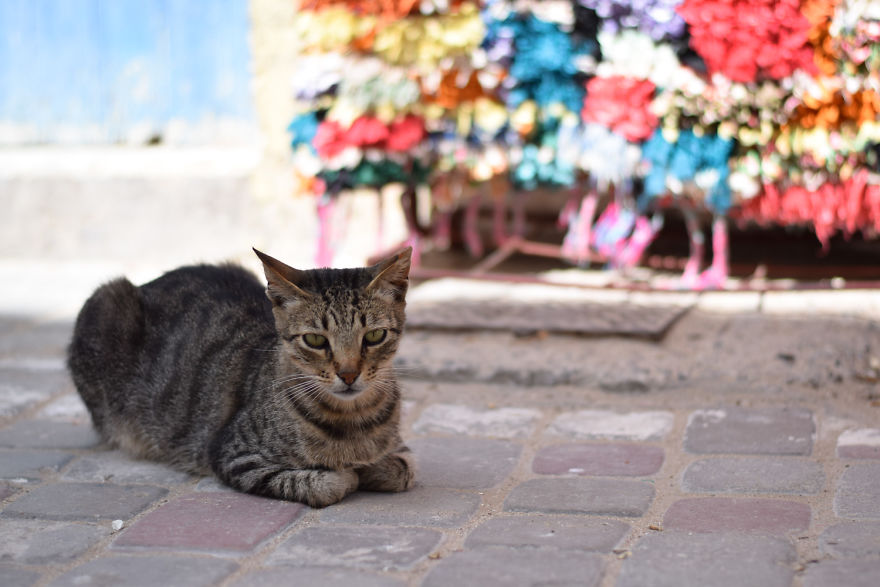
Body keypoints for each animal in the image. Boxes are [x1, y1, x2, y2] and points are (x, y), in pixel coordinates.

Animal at [66, 246, 416, 508]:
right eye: (315, 340)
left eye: (374, 336)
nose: (348, 373)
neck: (353, 418)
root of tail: (146, 283)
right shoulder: (233, 454)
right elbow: (322, 483)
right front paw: (348, 473)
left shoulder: (401, 449)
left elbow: (403, 468)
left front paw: (373, 467)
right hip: (105, 301)